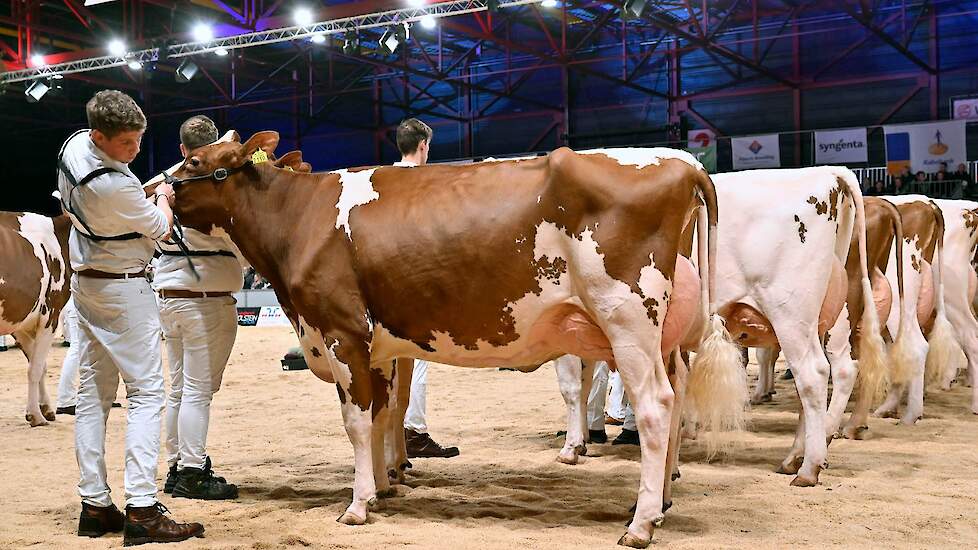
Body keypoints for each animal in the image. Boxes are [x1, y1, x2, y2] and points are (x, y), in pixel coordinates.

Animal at [0, 211, 72, 426]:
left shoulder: (19, 322)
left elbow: (40, 365)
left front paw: (46, 408)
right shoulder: (51, 314)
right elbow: (35, 368)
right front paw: (35, 415)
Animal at [168, 133, 736, 548]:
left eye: (192, 161)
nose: (156, 190)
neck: (297, 219)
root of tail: (682, 162)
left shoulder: (342, 332)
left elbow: (357, 422)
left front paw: (357, 505)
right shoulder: (380, 344)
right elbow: (383, 415)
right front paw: (384, 487)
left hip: (627, 317)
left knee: (656, 405)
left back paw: (639, 525)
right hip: (656, 330)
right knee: (675, 393)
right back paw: (659, 503)